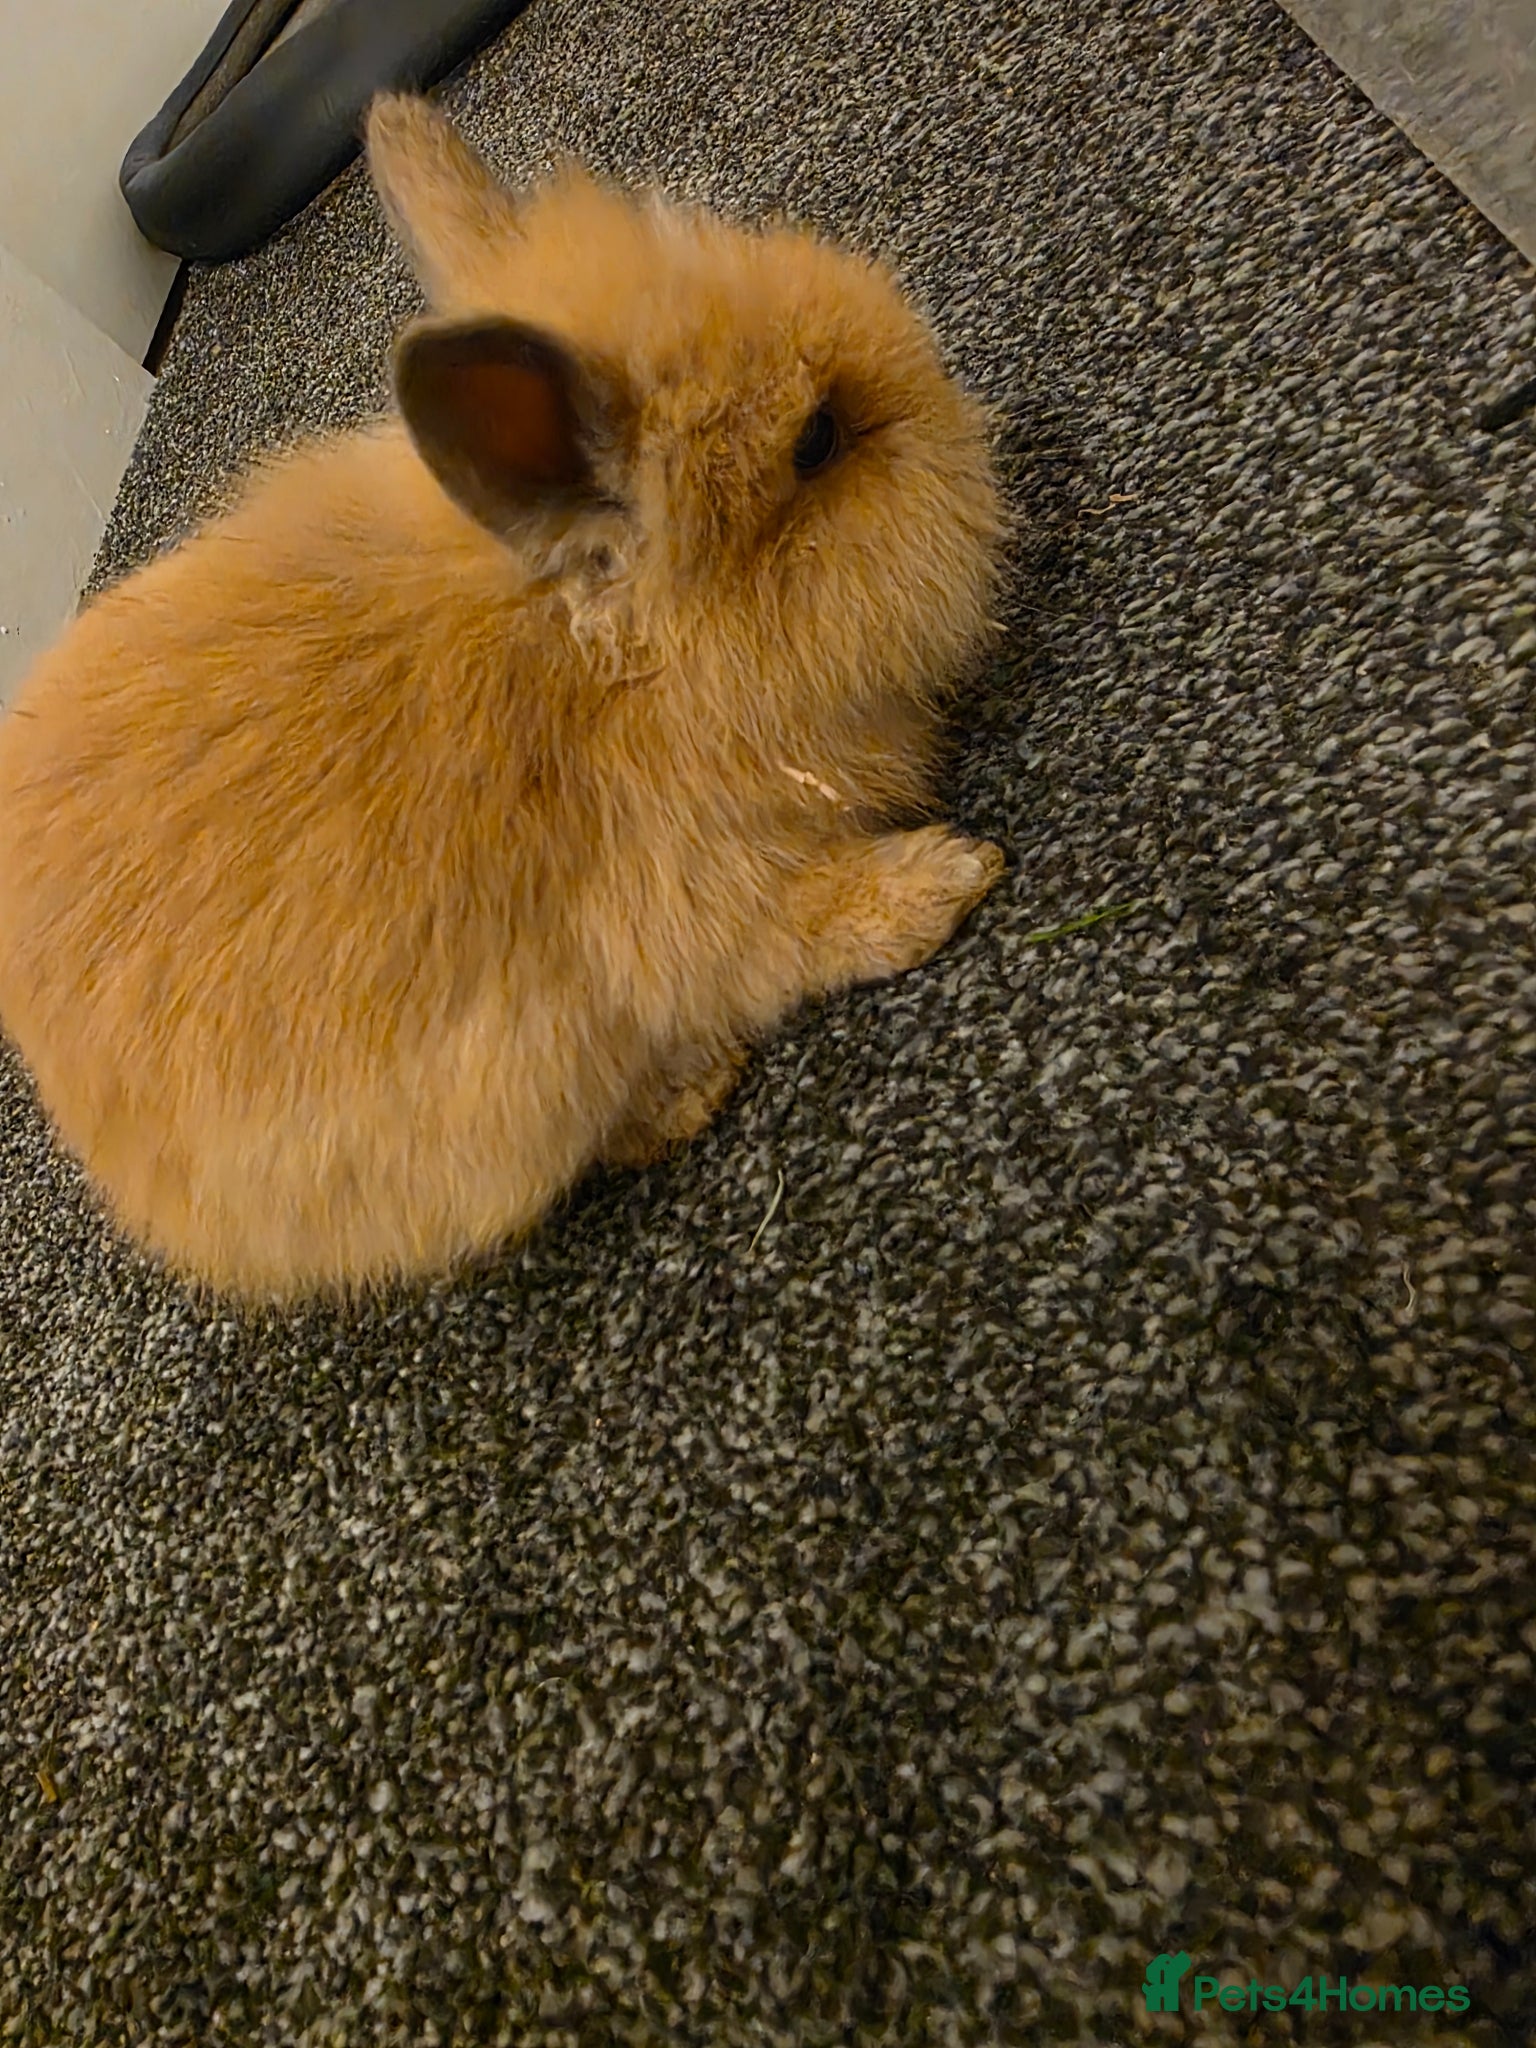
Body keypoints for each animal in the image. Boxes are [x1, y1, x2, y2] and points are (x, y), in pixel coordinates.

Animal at [0, 93, 1007, 1301]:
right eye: (816, 440)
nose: (962, 414)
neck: (619, 665)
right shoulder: (692, 909)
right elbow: (804, 933)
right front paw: (950, 880)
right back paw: (685, 1095)